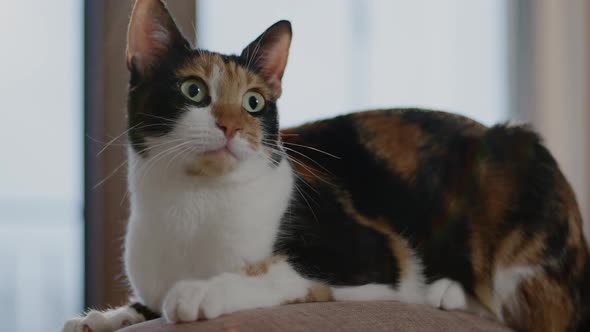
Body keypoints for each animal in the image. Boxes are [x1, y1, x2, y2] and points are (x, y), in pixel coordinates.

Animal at [62, 0, 588, 332]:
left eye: (254, 102)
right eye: (194, 90)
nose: (232, 126)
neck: (193, 204)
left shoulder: (372, 254)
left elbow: (284, 273)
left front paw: (200, 292)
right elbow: (142, 304)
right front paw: (103, 317)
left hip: (515, 171)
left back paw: (445, 293)